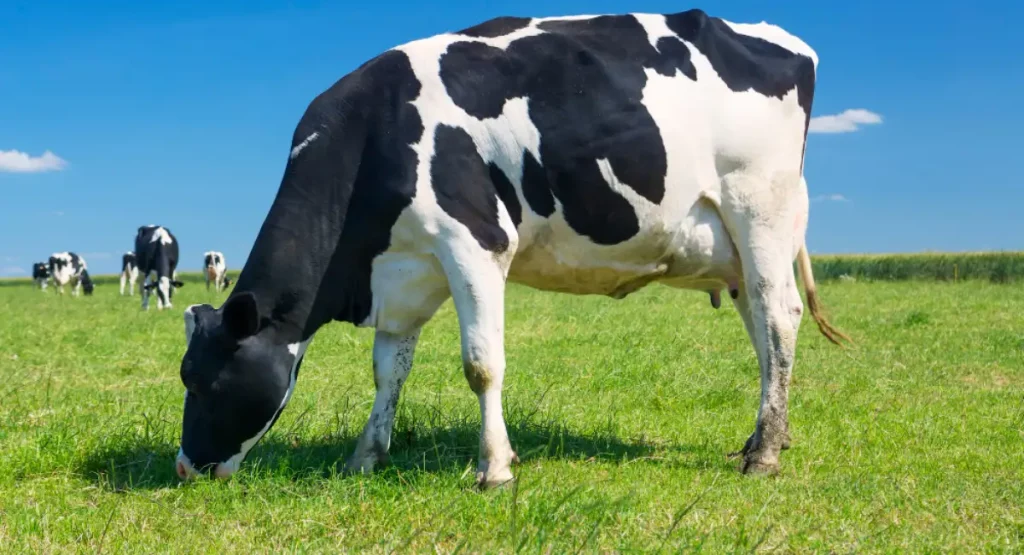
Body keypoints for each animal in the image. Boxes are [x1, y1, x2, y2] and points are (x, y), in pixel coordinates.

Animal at [175, 10, 850, 487]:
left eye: (203, 382)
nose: (184, 467)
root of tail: (780, 39)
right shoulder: (403, 270)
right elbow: (387, 370)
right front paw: (365, 456)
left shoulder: (474, 244)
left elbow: (481, 364)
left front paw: (494, 468)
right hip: (736, 246)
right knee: (762, 330)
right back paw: (767, 436)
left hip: (759, 208)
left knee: (779, 316)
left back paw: (764, 454)